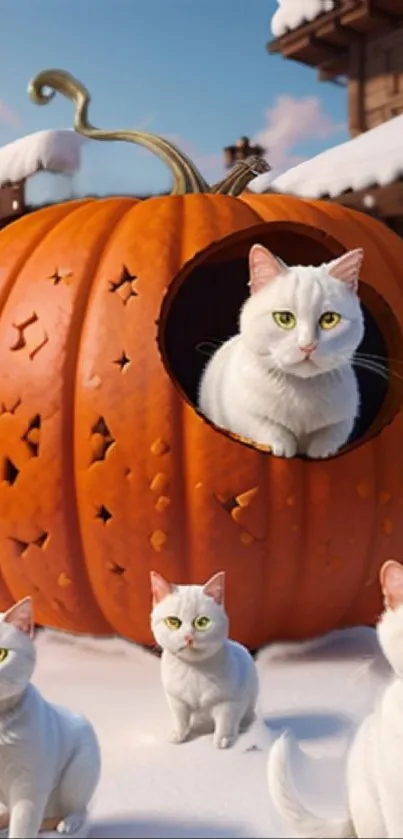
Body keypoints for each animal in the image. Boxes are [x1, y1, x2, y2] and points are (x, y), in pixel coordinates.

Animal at [0, 596, 100, 839]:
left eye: (2, 654)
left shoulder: (29, 787)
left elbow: (22, 829)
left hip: (79, 771)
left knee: (79, 809)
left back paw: (68, 823)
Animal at [149, 572, 258, 748]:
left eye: (202, 622)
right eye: (173, 622)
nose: (188, 637)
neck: (194, 670)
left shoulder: (229, 702)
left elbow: (225, 720)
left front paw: (223, 738)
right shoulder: (176, 700)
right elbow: (180, 719)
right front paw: (179, 735)